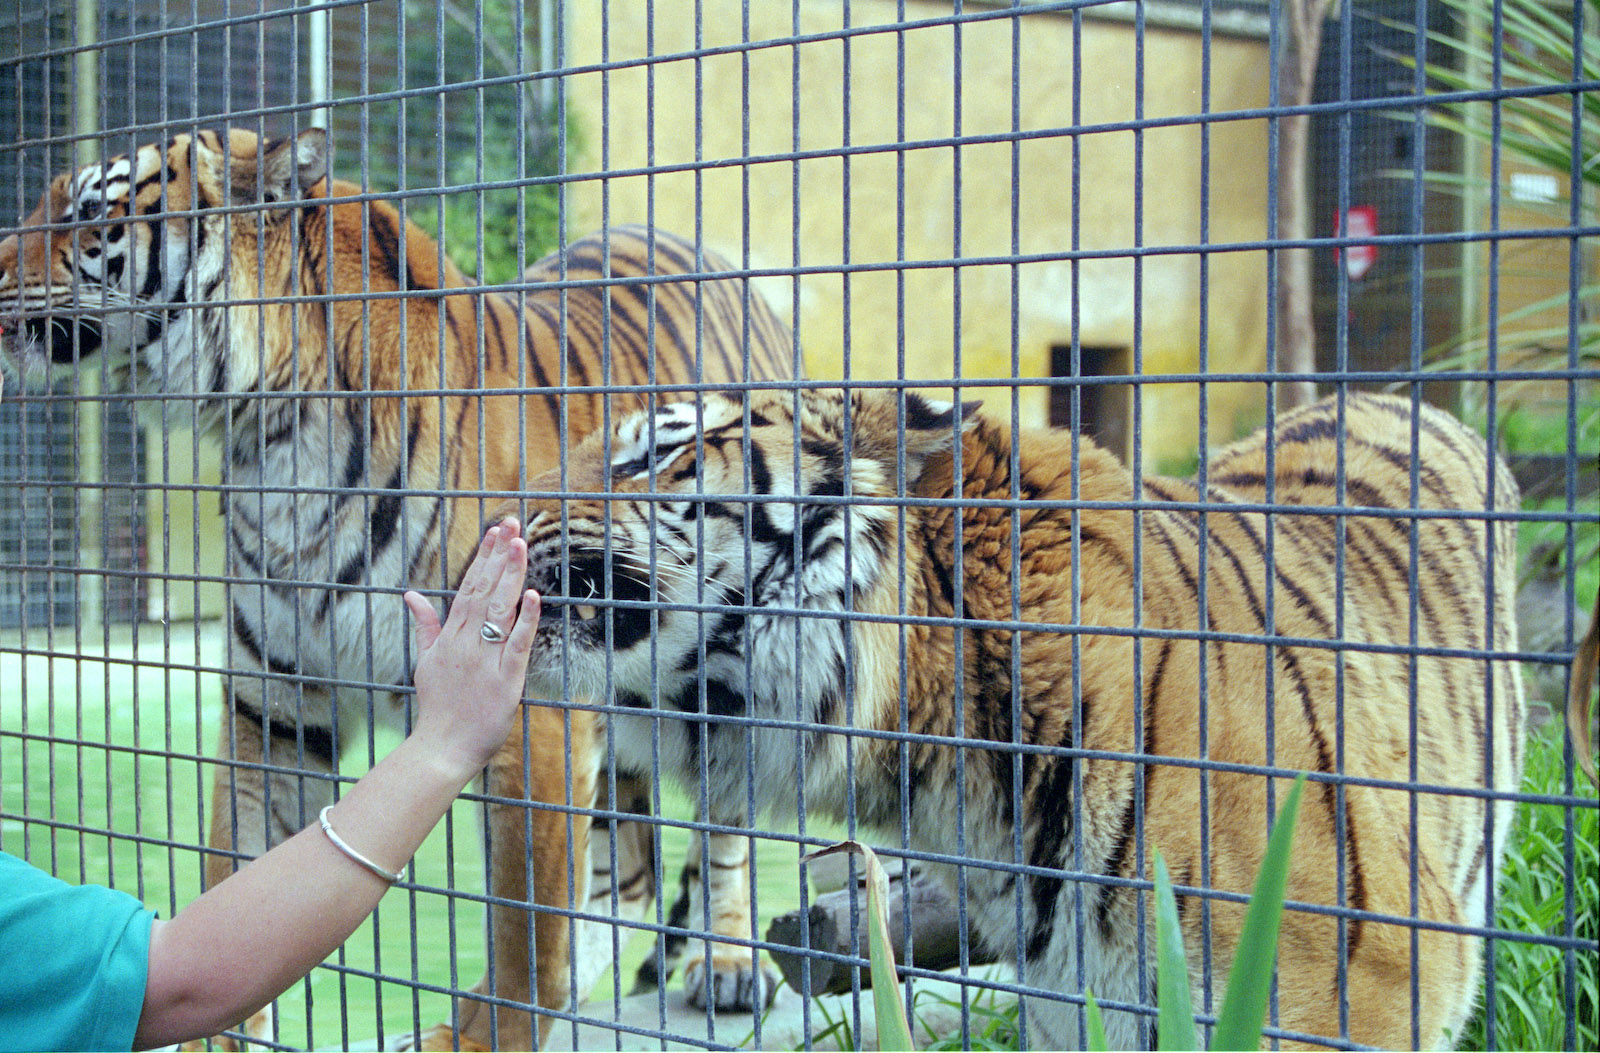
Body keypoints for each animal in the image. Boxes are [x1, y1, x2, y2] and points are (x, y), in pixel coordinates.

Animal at [0, 126, 793, 1050]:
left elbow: (525, 924)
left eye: (88, 210)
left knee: (716, 834)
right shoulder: (274, 704)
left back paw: (728, 962)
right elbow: (239, 867)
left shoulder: (532, 709)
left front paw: (493, 1035)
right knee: (623, 877)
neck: (272, 435)